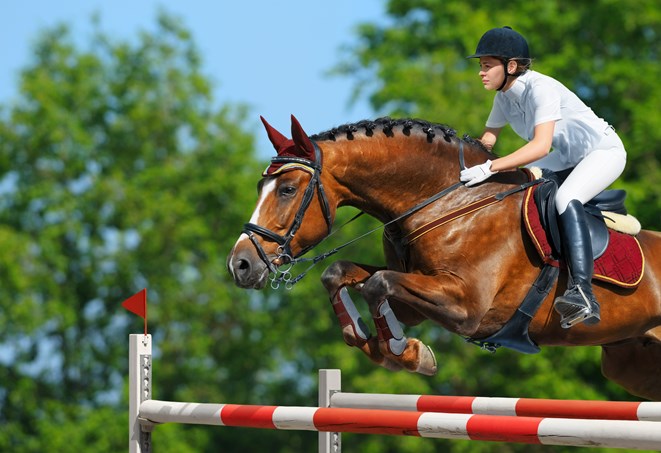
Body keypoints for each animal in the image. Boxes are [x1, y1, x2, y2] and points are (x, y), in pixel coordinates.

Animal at [226, 114, 660, 400]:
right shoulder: (418, 296)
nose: (239, 265)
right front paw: (383, 345)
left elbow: (377, 284)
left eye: (287, 189)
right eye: (262, 187)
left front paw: (405, 353)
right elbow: (342, 274)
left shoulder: (467, 308)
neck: (448, 203)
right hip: (632, 364)